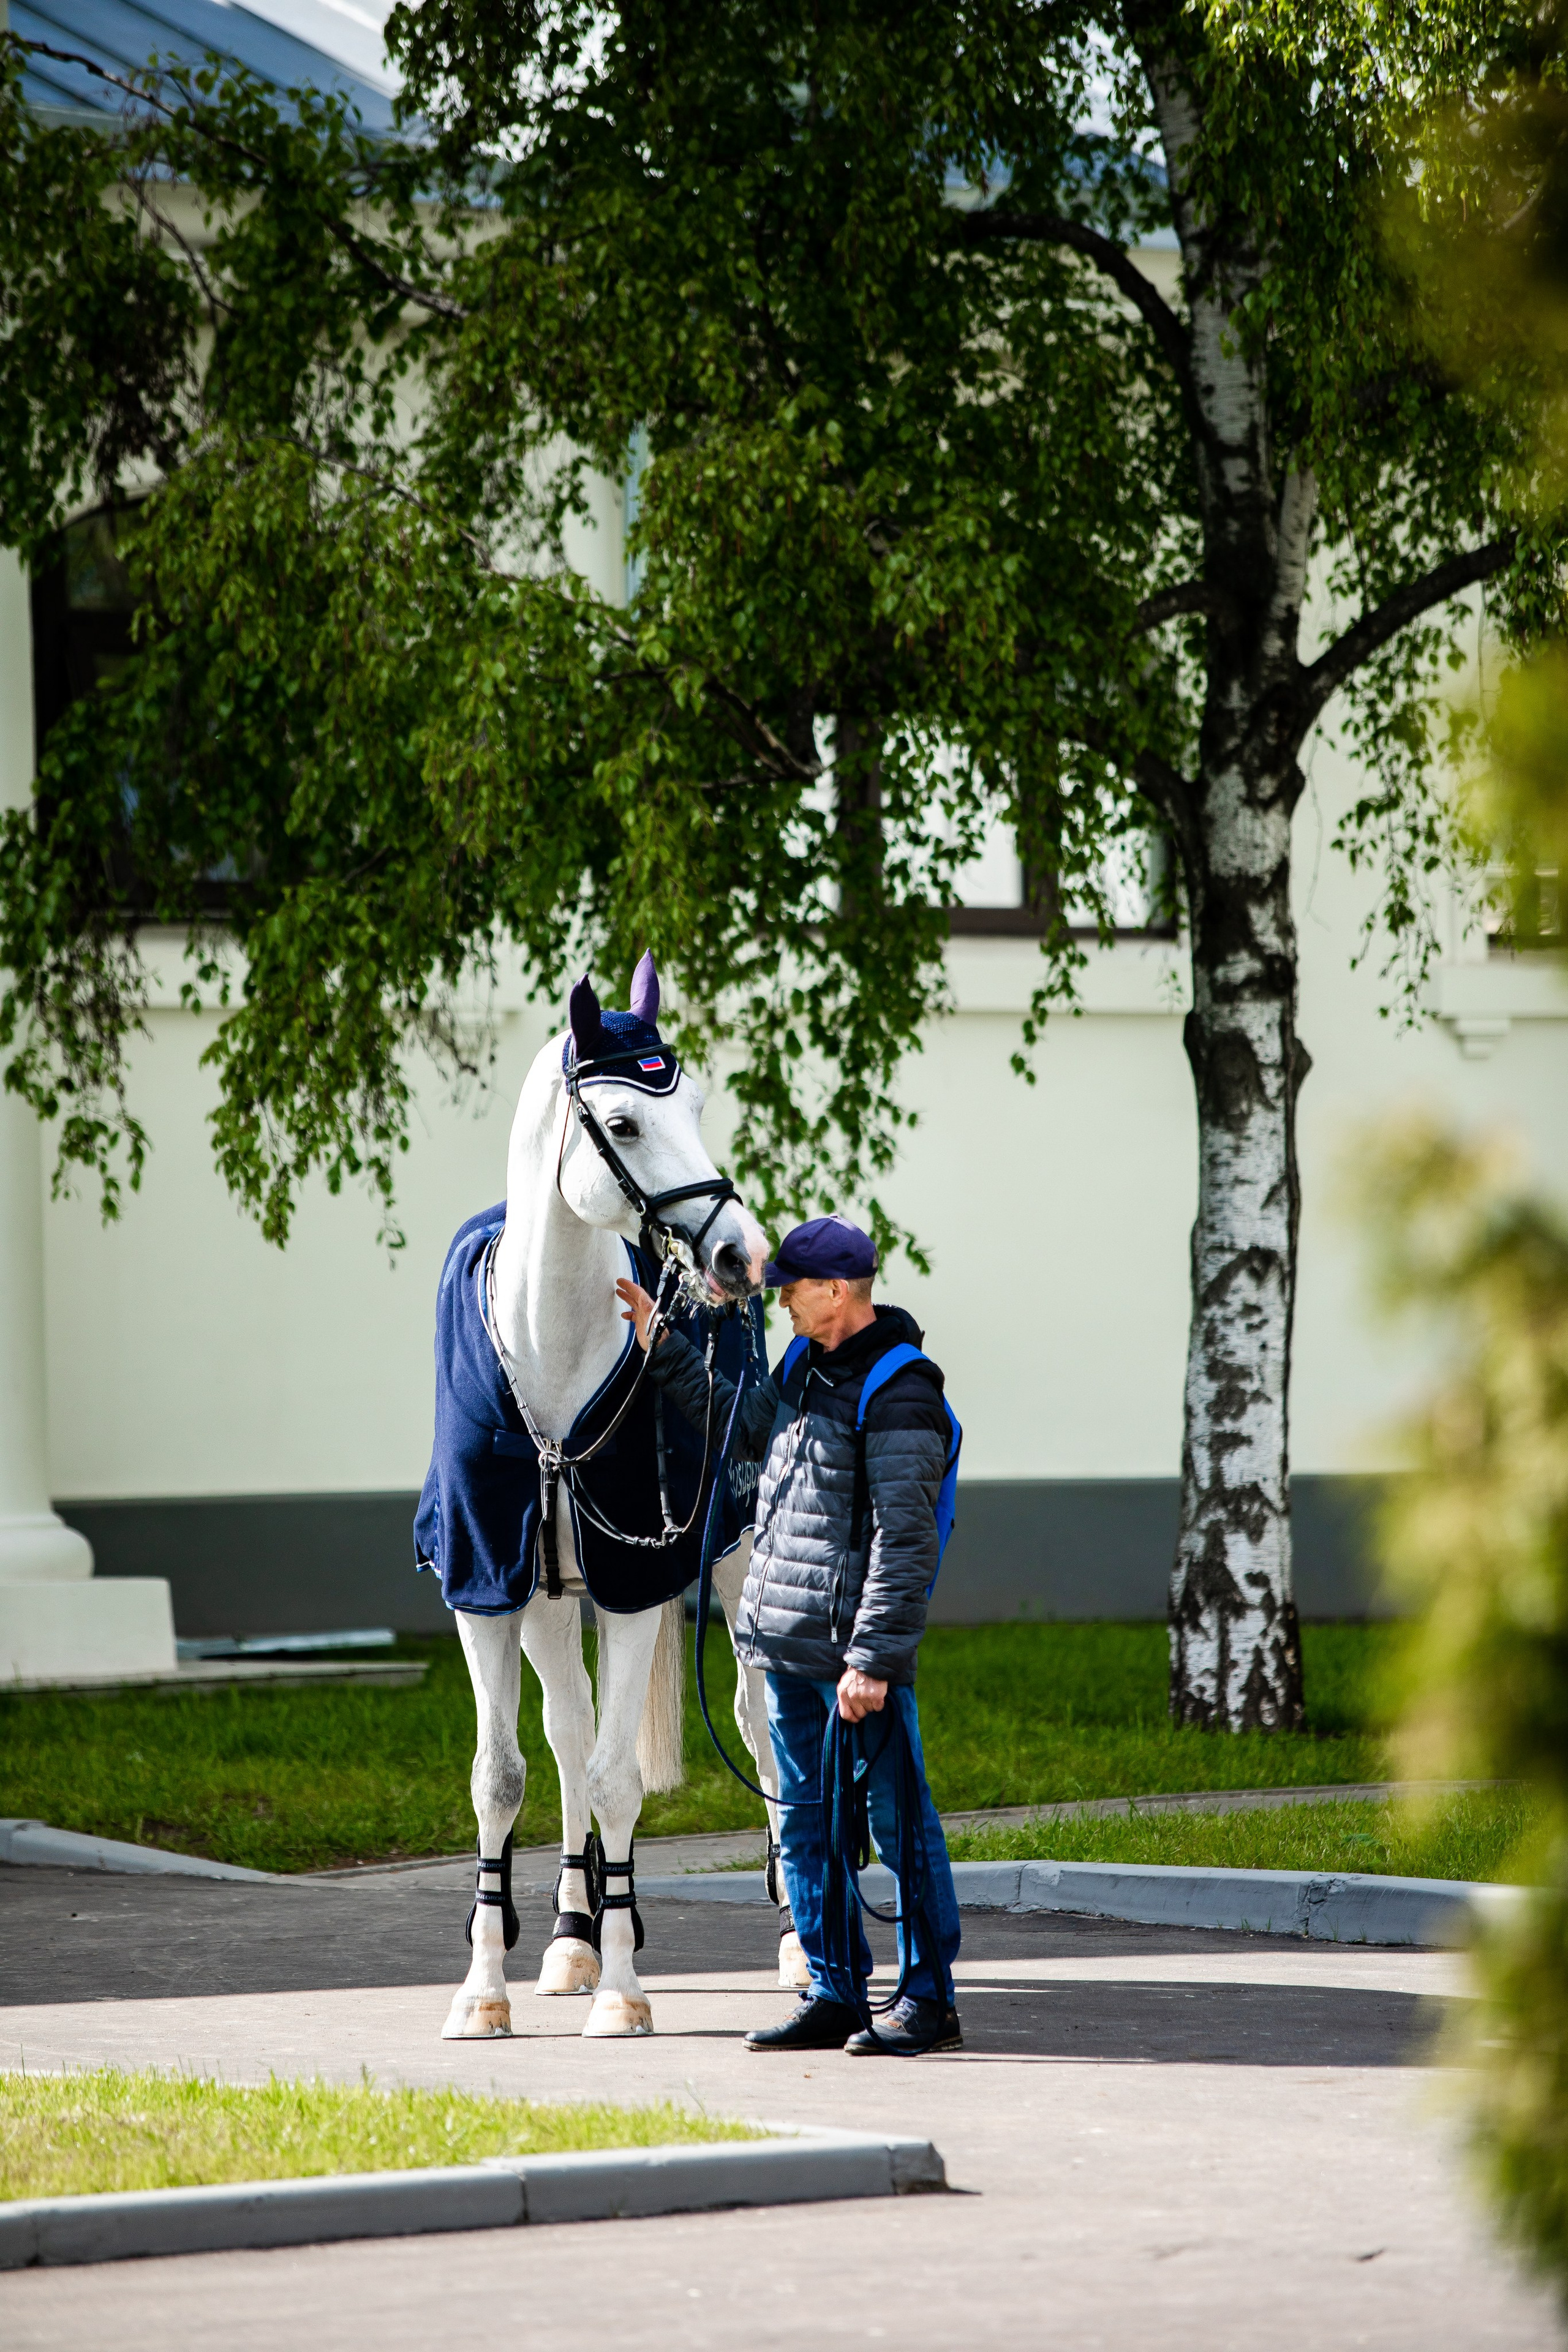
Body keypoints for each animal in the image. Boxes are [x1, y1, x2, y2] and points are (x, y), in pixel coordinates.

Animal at [417, 954, 804, 2041]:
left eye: (699, 1104)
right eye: (623, 1123)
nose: (741, 1255)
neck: (550, 1346)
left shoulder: (636, 1587)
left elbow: (618, 1777)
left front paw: (626, 1993)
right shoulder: (488, 1586)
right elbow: (507, 1776)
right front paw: (487, 1989)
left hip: (737, 1565)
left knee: (761, 1730)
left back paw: (798, 1943)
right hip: (553, 1602)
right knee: (568, 1732)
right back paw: (568, 1939)